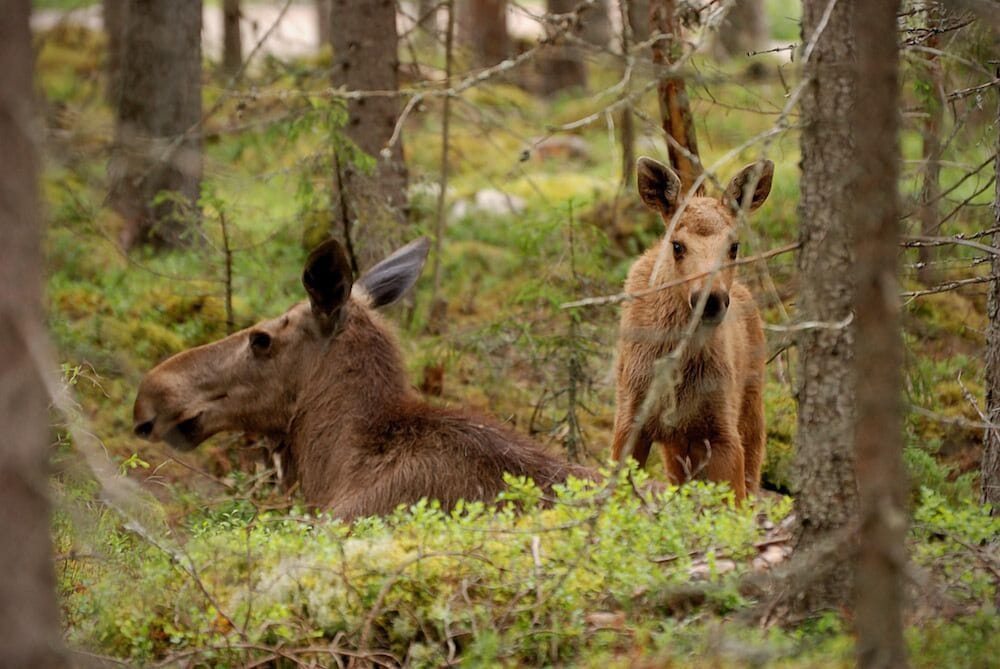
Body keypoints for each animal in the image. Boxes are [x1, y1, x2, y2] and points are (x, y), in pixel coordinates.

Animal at [608, 157, 772, 500]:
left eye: (734, 246)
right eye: (677, 245)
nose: (710, 299)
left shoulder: (723, 431)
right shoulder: (630, 420)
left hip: (750, 412)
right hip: (678, 447)